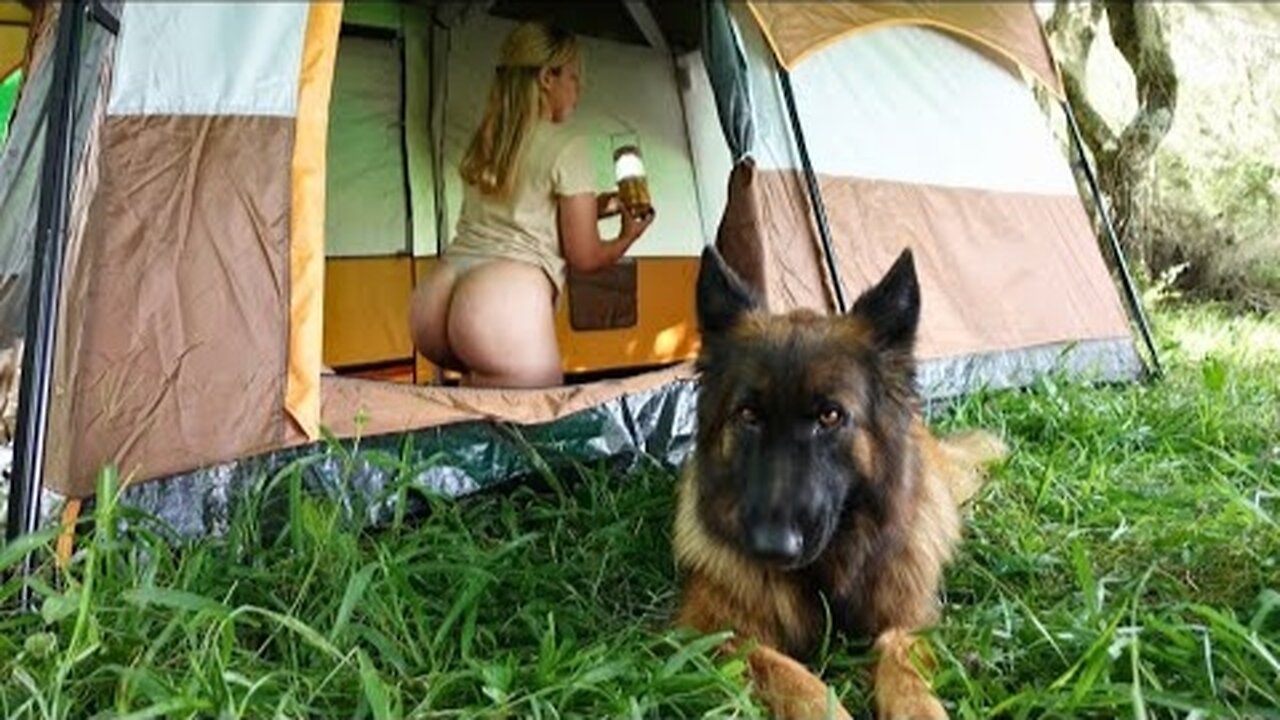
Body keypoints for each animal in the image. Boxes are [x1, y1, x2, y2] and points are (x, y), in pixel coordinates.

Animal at [675, 244, 1003, 717]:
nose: (772, 547)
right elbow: (790, 675)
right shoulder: (706, 633)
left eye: (830, 416)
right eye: (748, 415)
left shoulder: (907, 617)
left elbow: (899, 660)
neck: (832, 565)